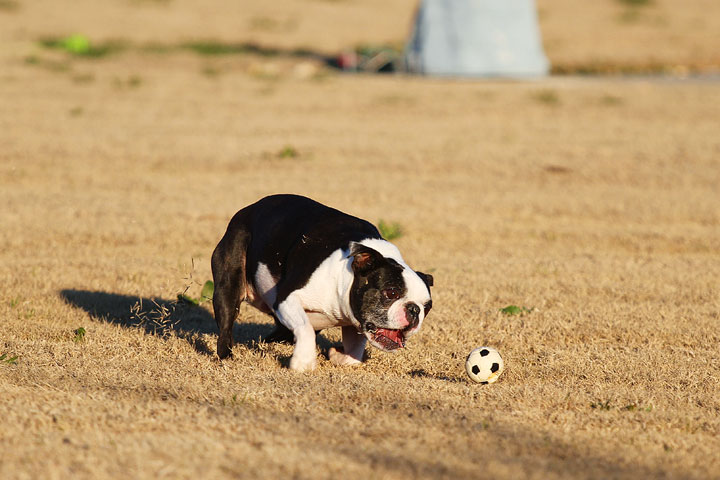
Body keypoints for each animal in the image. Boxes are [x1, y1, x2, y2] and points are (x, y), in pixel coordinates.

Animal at [208, 195, 434, 372]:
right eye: (391, 293)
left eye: (427, 307)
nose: (414, 310)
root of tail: (248, 209)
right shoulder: (287, 299)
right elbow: (305, 328)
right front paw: (303, 362)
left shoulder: (355, 321)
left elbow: (355, 350)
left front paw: (338, 356)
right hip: (230, 281)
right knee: (227, 322)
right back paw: (226, 356)